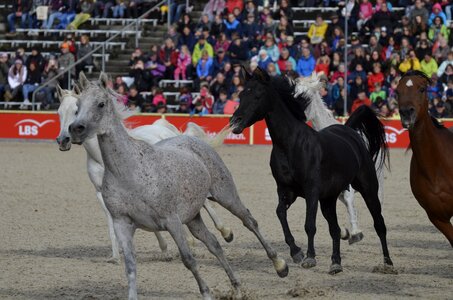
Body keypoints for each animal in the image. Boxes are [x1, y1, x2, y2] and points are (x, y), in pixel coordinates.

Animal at [56, 84, 231, 262]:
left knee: (204, 201)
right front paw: (116, 256)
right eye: (59, 112)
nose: (63, 140)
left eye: (76, 110)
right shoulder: (103, 194)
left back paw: (225, 232)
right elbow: (113, 221)